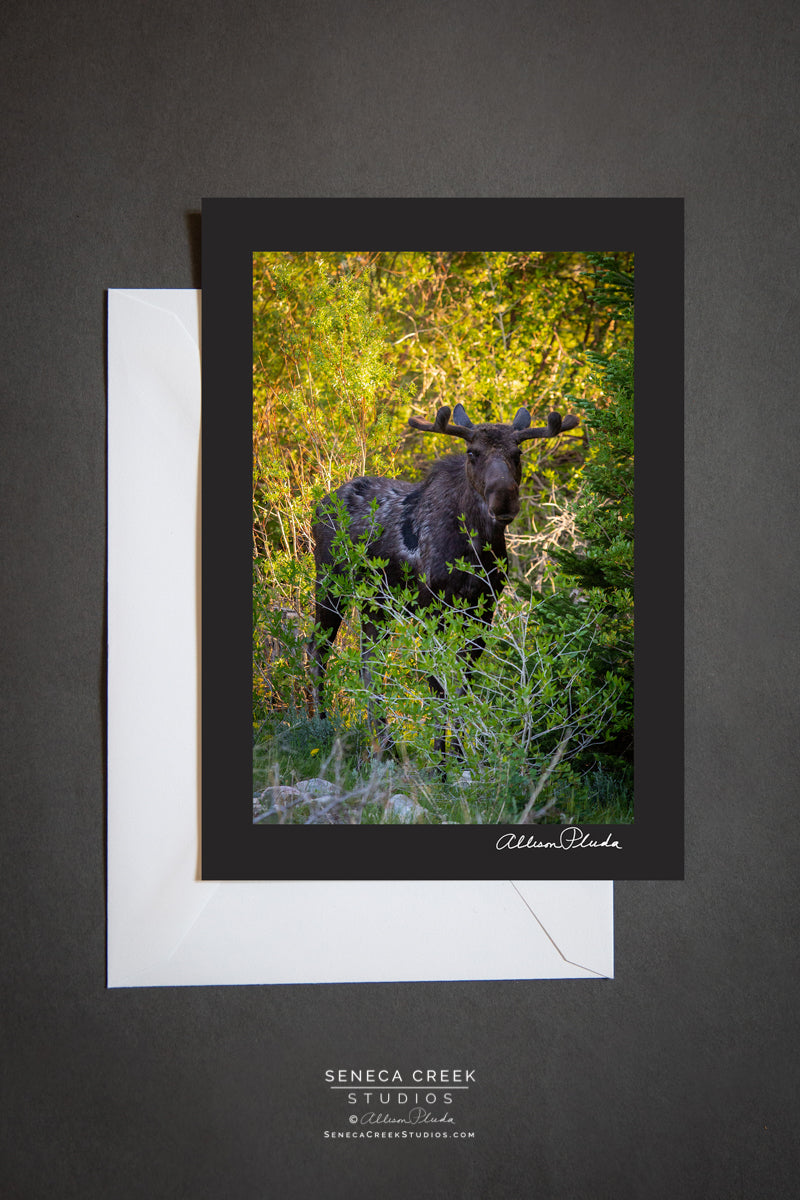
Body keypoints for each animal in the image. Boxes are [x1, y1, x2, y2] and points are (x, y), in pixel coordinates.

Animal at [309, 402, 579, 762]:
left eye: (518, 452)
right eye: (472, 452)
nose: (504, 500)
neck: (475, 548)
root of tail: (319, 505)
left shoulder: (483, 608)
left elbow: (463, 683)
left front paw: (459, 757)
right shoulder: (431, 607)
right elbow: (438, 683)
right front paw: (440, 763)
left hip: (376, 603)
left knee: (369, 662)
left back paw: (385, 744)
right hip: (330, 582)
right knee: (318, 649)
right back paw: (321, 726)